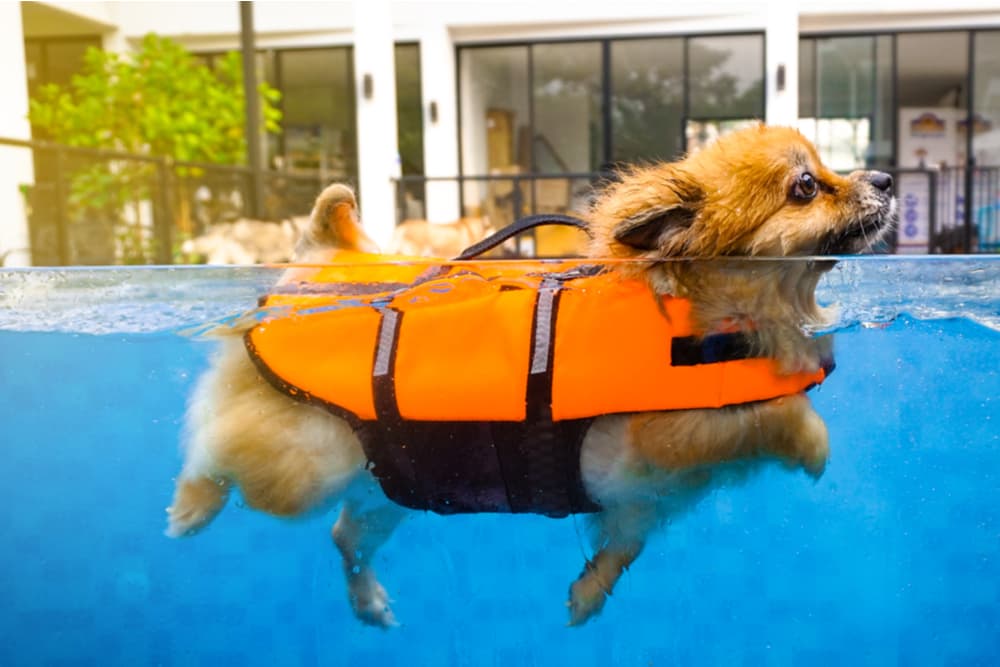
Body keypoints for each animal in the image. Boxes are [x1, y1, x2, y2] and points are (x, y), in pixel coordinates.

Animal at [166, 124, 900, 628]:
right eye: (807, 186)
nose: (888, 178)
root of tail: (314, 263)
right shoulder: (669, 437)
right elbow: (772, 414)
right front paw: (812, 445)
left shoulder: (639, 504)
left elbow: (620, 550)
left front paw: (586, 597)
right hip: (300, 463)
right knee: (215, 448)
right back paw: (190, 506)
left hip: (391, 480)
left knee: (344, 534)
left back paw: (369, 600)